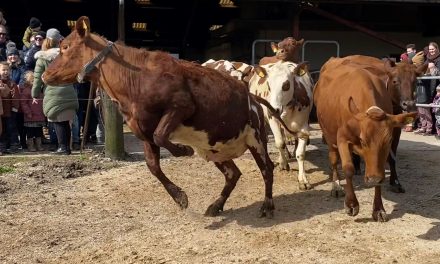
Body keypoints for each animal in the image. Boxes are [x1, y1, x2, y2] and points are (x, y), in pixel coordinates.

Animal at [42, 16, 276, 219]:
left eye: (65, 47)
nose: (45, 75)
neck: (134, 79)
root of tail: (252, 96)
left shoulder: (181, 106)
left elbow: (161, 136)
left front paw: (183, 150)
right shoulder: (142, 129)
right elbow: (153, 165)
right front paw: (180, 197)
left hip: (256, 137)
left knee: (267, 168)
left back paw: (267, 206)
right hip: (214, 148)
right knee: (232, 174)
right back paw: (216, 205)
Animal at [312, 57, 416, 221]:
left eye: (388, 141)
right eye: (363, 141)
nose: (372, 179)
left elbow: (381, 170)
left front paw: (378, 208)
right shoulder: (342, 139)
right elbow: (348, 168)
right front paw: (351, 204)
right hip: (328, 135)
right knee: (334, 159)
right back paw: (336, 185)